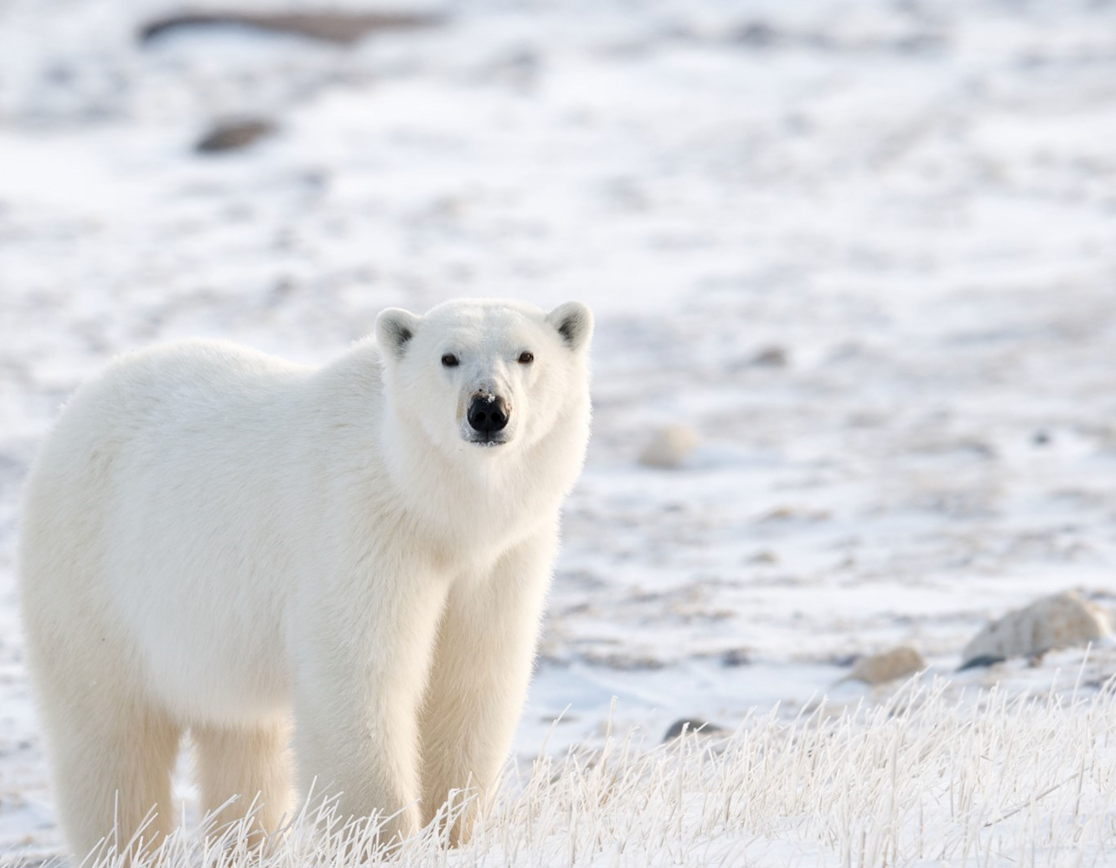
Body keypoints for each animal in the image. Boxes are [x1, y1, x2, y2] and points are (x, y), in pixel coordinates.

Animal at [17, 297, 593, 860]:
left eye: (526, 355)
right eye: (448, 357)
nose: (488, 409)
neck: (432, 508)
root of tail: (78, 403)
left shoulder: (500, 560)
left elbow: (471, 683)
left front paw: (453, 834)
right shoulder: (360, 530)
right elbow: (359, 682)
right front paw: (383, 842)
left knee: (242, 745)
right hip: (93, 585)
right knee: (111, 743)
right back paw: (125, 844)